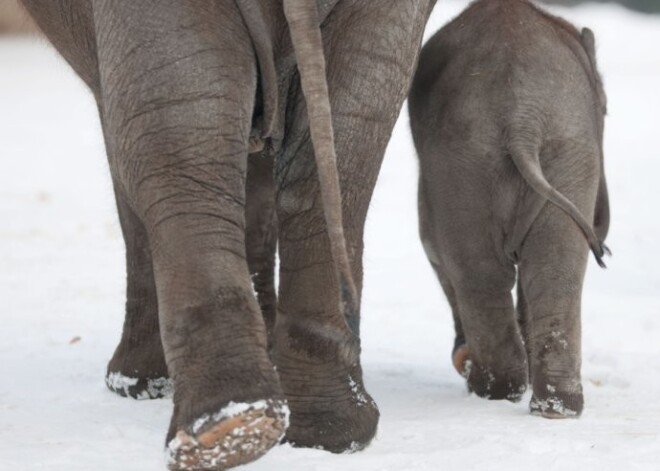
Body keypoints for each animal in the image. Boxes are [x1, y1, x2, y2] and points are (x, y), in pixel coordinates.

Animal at [410, 0, 612, 418]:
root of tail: (522, 119)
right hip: (534, 151)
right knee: (536, 268)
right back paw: (547, 405)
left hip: (488, 156)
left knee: (488, 273)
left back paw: (505, 391)